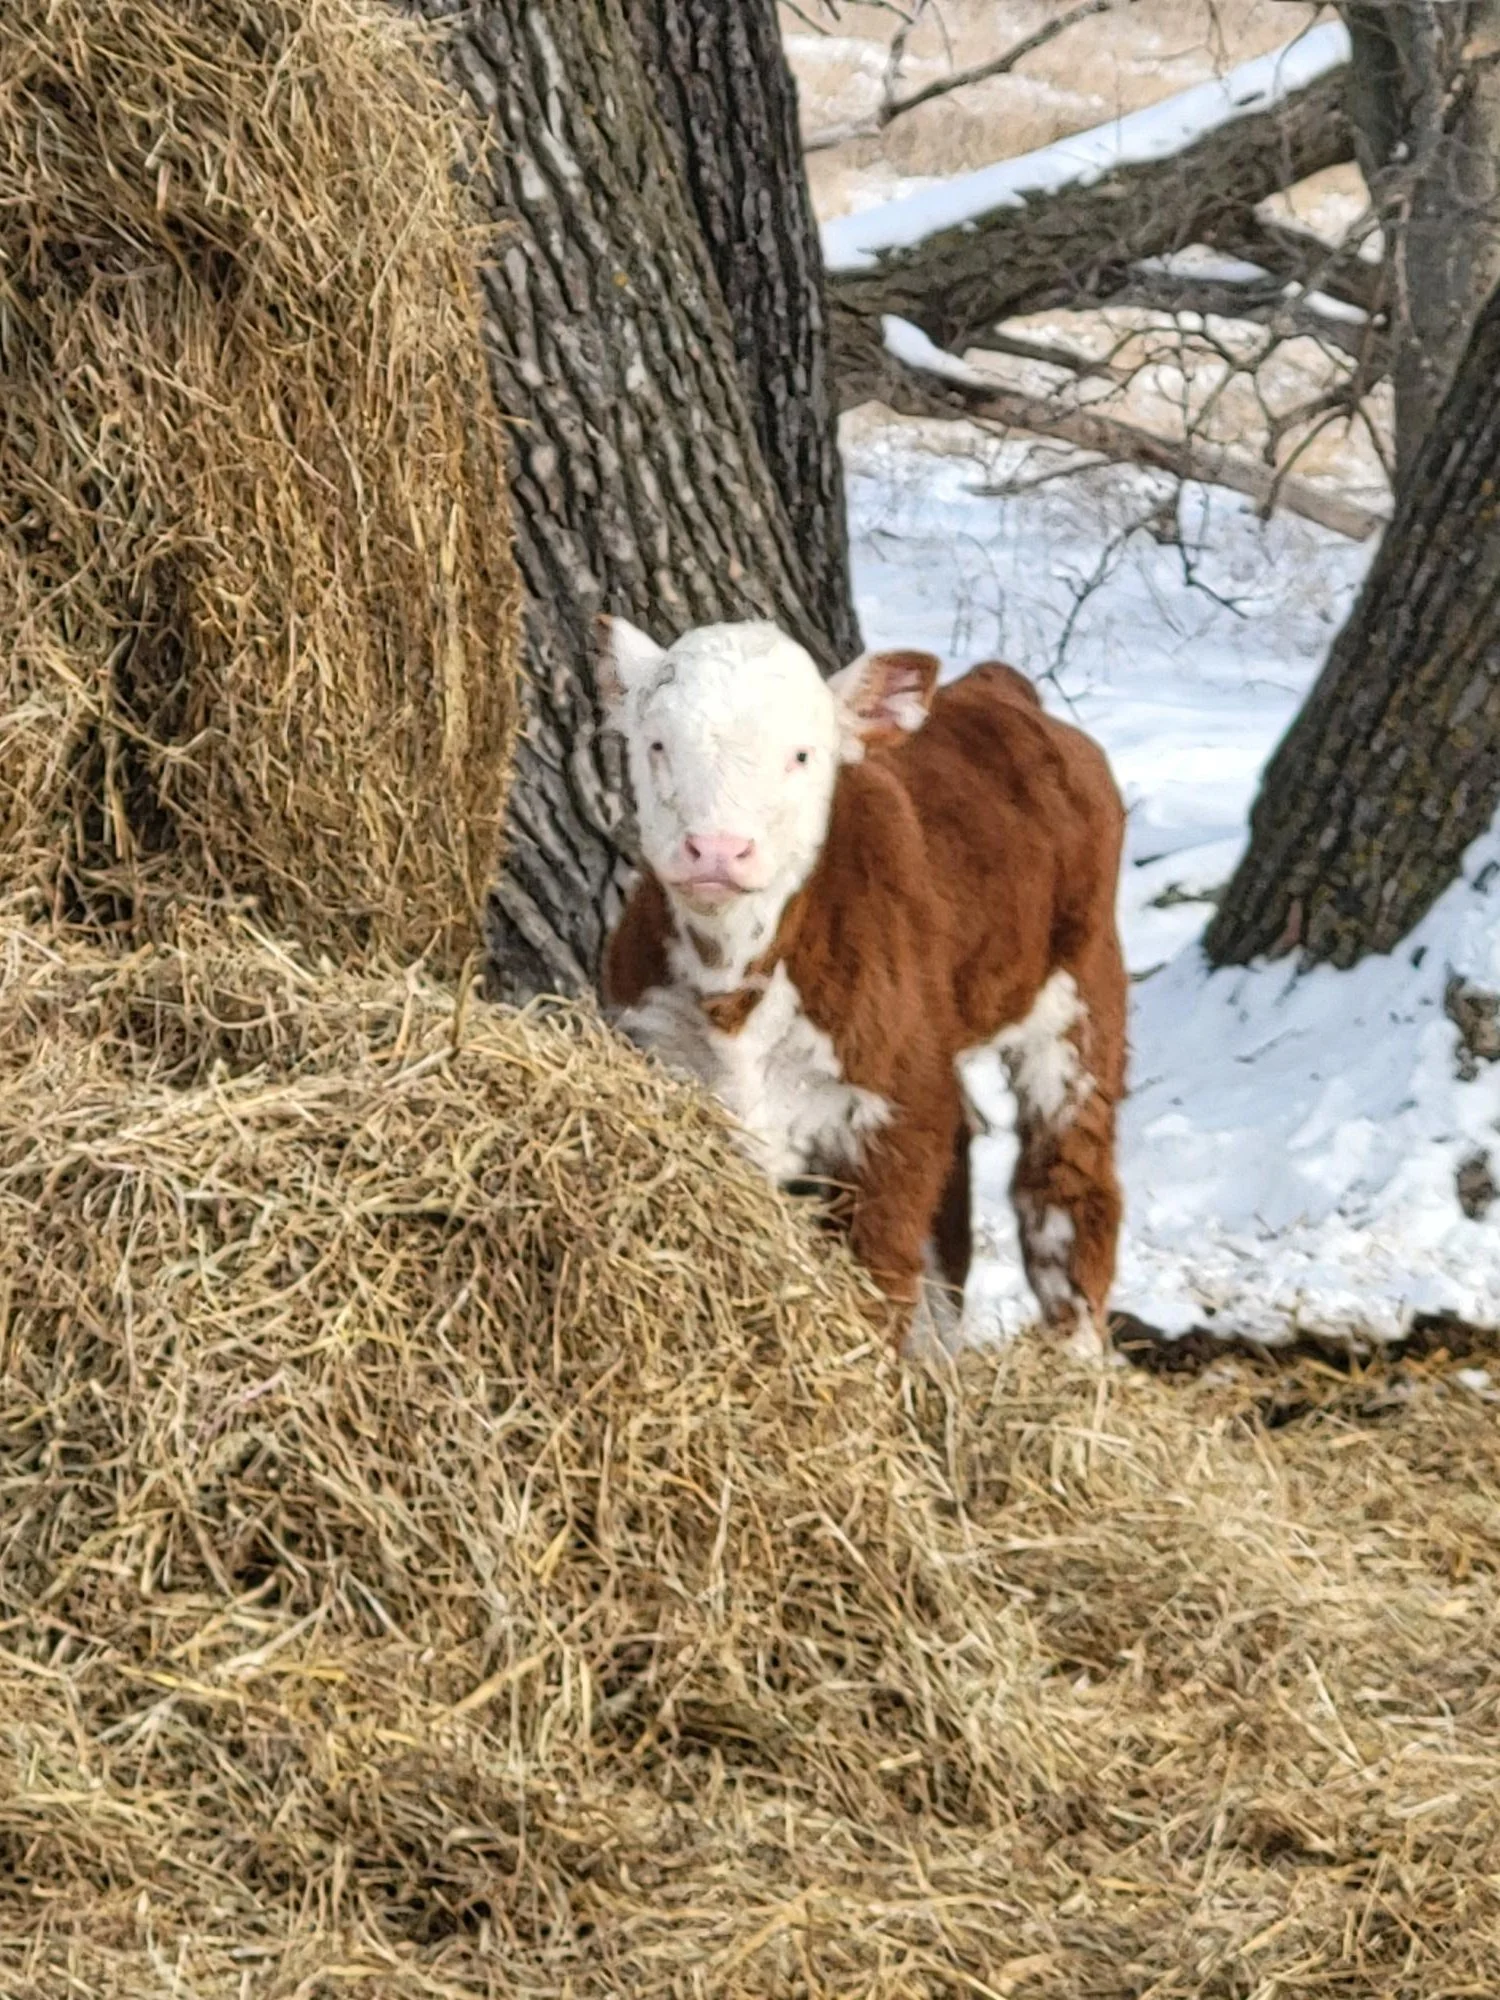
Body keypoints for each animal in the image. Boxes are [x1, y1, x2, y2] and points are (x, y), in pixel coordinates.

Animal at [598, 616, 1127, 1359]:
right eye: (657, 744)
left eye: (800, 755)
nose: (718, 850)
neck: (735, 982)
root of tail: (999, 687)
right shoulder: (664, 1055)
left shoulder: (892, 1113)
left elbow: (878, 1263)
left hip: (1080, 993)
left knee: (1068, 1176)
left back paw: (1078, 1350)